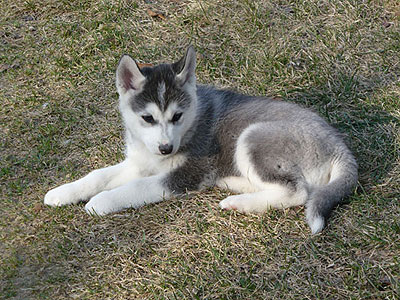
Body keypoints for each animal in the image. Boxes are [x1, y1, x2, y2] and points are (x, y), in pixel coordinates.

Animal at [45, 47, 358, 234]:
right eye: (147, 118)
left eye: (177, 116)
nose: (165, 148)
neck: (189, 127)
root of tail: (339, 145)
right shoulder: (140, 162)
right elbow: (98, 175)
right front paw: (62, 192)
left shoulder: (189, 172)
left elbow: (137, 187)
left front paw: (100, 202)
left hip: (252, 137)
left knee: (298, 192)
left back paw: (239, 203)